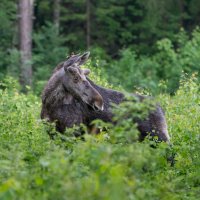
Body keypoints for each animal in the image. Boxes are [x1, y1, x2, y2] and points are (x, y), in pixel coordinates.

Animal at [41, 51, 170, 142]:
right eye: (76, 78)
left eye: (86, 76)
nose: (98, 103)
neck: (49, 102)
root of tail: (161, 109)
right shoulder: (52, 132)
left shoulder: (74, 131)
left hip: (158, 137)